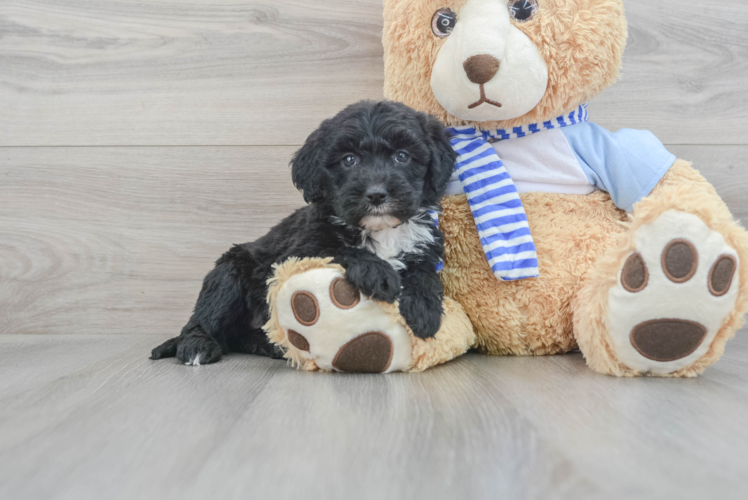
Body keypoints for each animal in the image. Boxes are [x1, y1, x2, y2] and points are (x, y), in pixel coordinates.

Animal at [152, 99, 456, 366]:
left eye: (401, 156)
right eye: (349, 160)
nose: (376, 194)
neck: (379, 230)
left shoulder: (425, 248)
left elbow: (425, 276)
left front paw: (424, 310)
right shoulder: (300, 249)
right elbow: (341, 249)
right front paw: (379, 273)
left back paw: (270, 345)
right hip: (228, 273)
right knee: (205, 317)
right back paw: (197, 345)